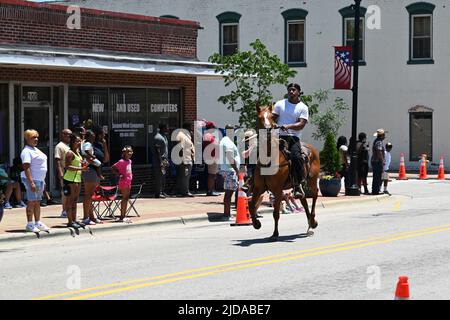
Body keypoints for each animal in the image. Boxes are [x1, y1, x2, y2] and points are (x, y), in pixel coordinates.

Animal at [250, 104, 320, 239]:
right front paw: (256, 224)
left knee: (314, 195)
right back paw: (310, 223)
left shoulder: (277, 190)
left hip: (312, 180)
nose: (267, 130)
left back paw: (313, 221)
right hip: (299, 185)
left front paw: (275, 233)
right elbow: (251, 206)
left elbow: (276, 213)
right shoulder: (258, 188)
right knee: (303, 200)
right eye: (259, 117)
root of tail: (311, 149)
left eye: (271, 117)